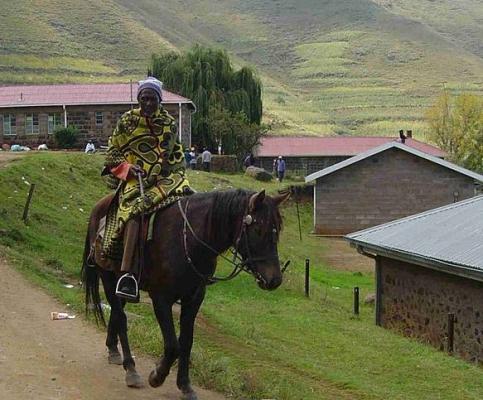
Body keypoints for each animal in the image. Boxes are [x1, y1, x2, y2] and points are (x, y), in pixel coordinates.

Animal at [81, 188, 290, 400]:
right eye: (258, 229)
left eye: (277, 230)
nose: (274, 280)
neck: (189, 239)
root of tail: (100, 205)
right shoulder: (161, 299)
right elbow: (173, 345)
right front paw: (157, 375)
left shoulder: (194, 299)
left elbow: (186, 342)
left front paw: (184, 385)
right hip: (108, 278)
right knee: (121, 319)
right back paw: (131, 369)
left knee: (117, 315)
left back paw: (113, 350)